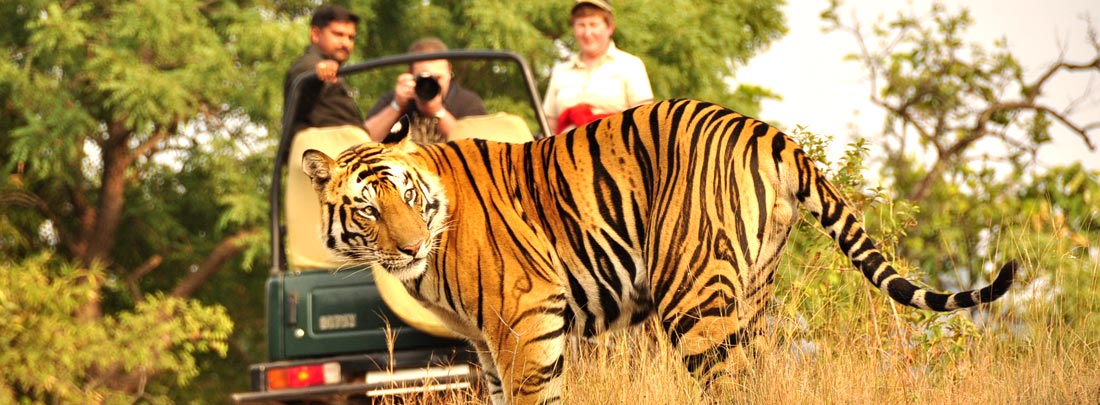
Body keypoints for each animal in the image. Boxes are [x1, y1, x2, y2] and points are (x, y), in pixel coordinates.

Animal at [301, 99, 1015, 405]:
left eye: (404, 197)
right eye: (367, 208)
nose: (410, 245)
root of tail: (768, 130)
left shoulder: (526, 322)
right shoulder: (487, 344)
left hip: (694, 299)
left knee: (733, 385)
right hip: (751, 295)